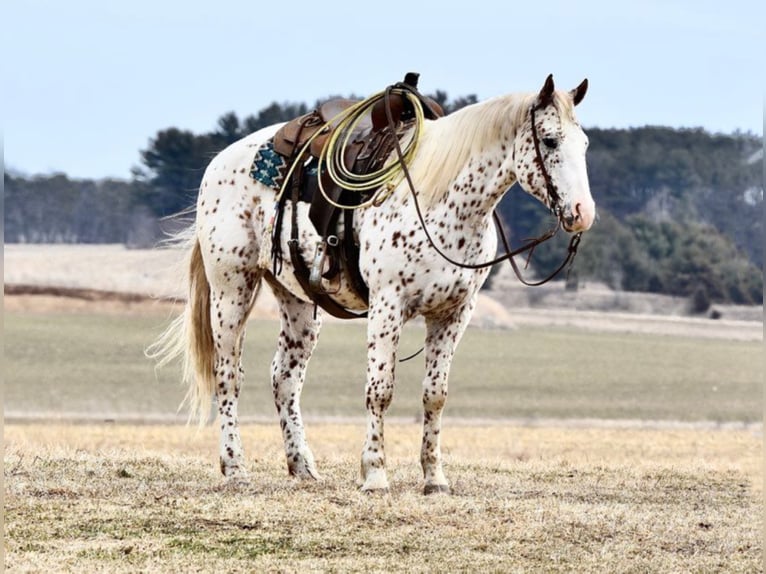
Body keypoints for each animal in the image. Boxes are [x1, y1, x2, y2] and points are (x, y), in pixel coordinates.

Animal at [148, 73, 592, 496]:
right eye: (550, 140)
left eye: (584, 143)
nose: (582, 213)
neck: (440, 200)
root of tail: (219, 162)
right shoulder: (387, 305)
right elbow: (380, 390)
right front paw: (375, 475)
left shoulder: (453, 313)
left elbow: (435, 395)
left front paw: (434, 478)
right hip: (231, 289)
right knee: (228, 375)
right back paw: (235, 468)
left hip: (297, 303)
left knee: (284, 379)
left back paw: (302, 466)